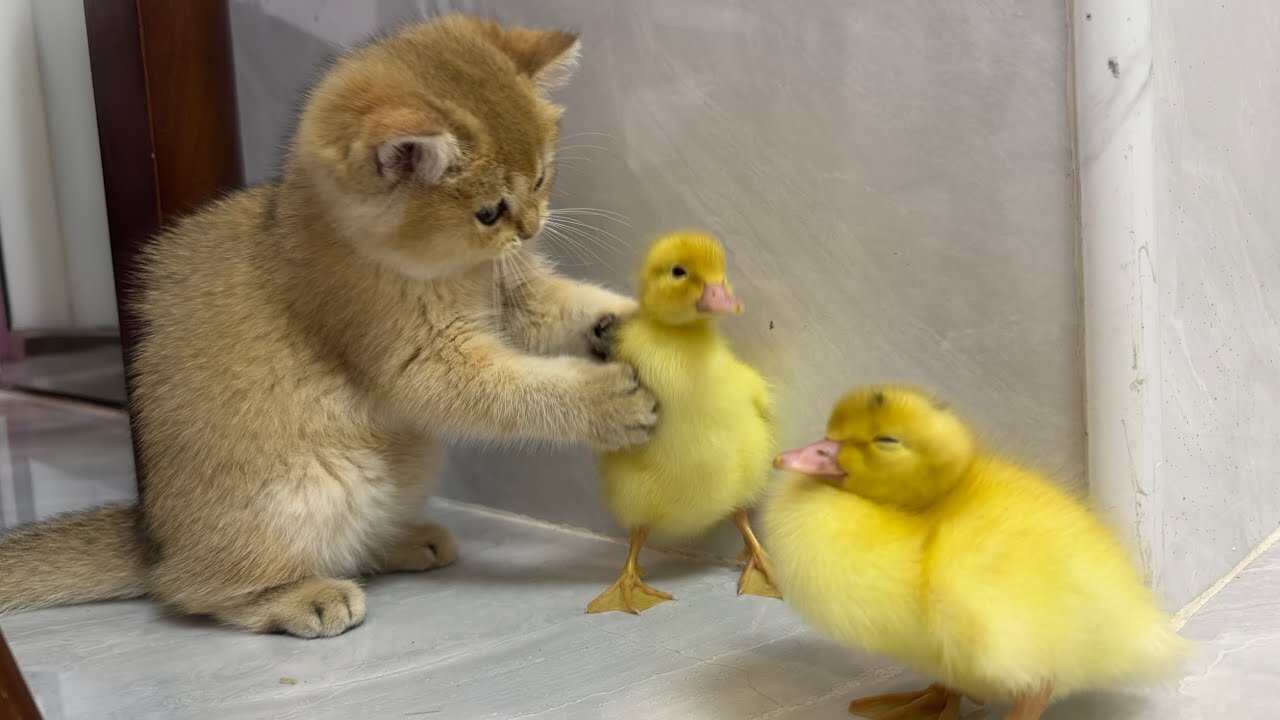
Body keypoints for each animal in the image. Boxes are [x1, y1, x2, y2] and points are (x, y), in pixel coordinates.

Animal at [0, 15, 655, 632]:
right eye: (488, 211)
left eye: (543, 177)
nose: (533, 226)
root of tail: (152, 536)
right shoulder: (419, 359)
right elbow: (515, 391)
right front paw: (605, 401)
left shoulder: (514, 294)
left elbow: (564, 306)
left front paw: (628, 317)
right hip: (318, 486)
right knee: (188, 591)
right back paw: (303, 598)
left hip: (404, 464)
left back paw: (405, 541)